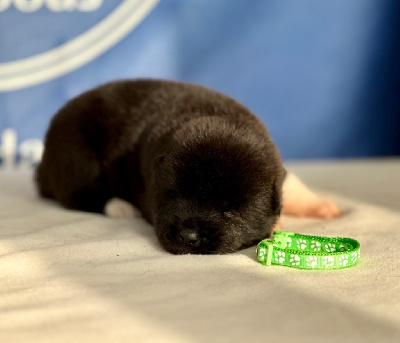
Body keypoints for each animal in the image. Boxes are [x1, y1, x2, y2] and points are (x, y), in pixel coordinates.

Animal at [36, 79, 338, 254]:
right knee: (81, 194)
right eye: (175, 195)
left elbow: (290, 184)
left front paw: (320, 205)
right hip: (76, 157)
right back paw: (120, 206)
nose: (189, 236)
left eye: (228, 209)